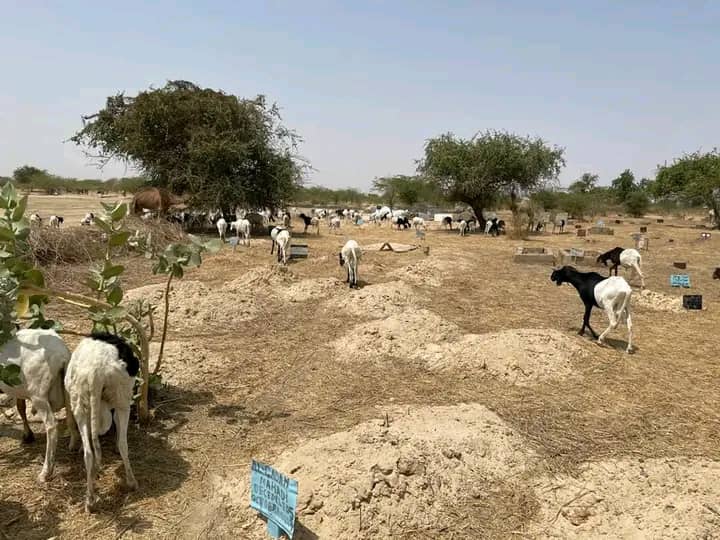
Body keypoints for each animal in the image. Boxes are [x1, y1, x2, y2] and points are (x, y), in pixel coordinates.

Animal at [0, 330, 78, 480]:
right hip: (66, 386)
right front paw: (28, 435)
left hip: (38, 393)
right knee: (72, 416)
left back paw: (46, 472)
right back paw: (74, 445)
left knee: (52, 427)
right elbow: (21, 407)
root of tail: (61, 355)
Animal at [64, 332, 139, 512]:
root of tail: (95, 372)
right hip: (122, 400)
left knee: (89, 452)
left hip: (80, 404)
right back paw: (131, 482)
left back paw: (90, 500)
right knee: (122, 443)